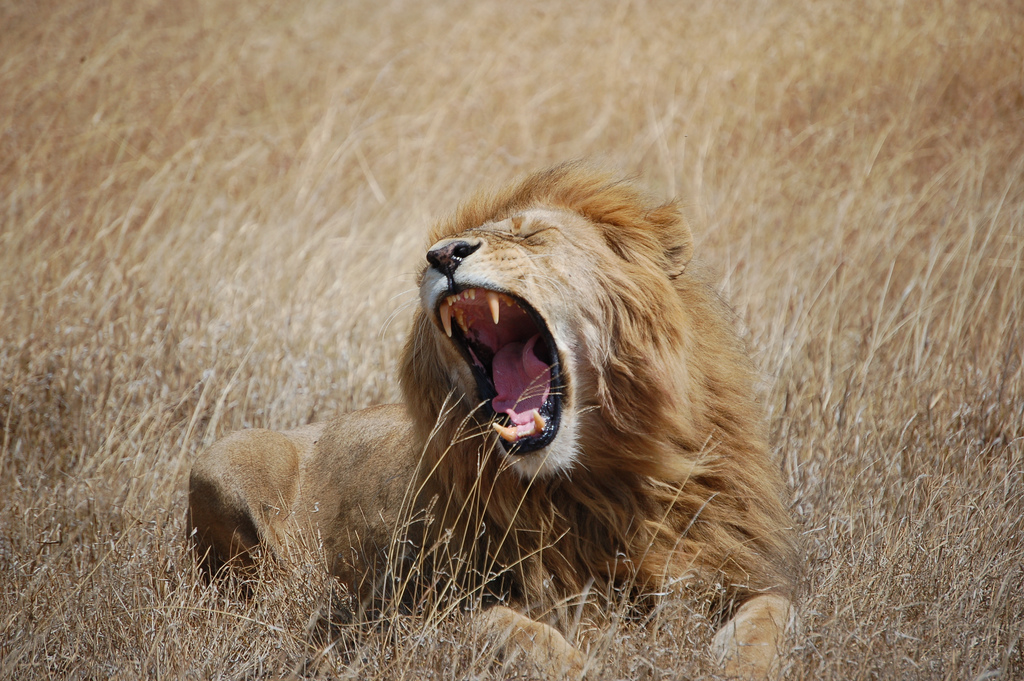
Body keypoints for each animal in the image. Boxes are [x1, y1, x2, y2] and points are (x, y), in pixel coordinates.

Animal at [187, 162, 799, 679]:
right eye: (429, 257)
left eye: (531, 235)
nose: (442, 256)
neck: (597, 487)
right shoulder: (416, 607)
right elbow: (510, 630)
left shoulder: (741, 569)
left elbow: (770, 617)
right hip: (221, 462)